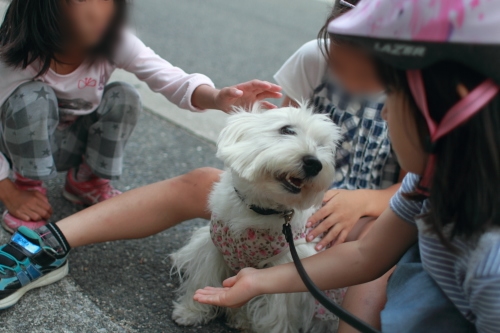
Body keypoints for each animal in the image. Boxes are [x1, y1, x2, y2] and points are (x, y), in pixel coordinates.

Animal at [170, 102, 342, 330]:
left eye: (322, 145)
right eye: (287, 129)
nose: (314, 163)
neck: (259, 209)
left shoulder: (284, 266)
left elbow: (274, 312)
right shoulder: (214, 247)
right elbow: (202, 278)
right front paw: (190, 312)